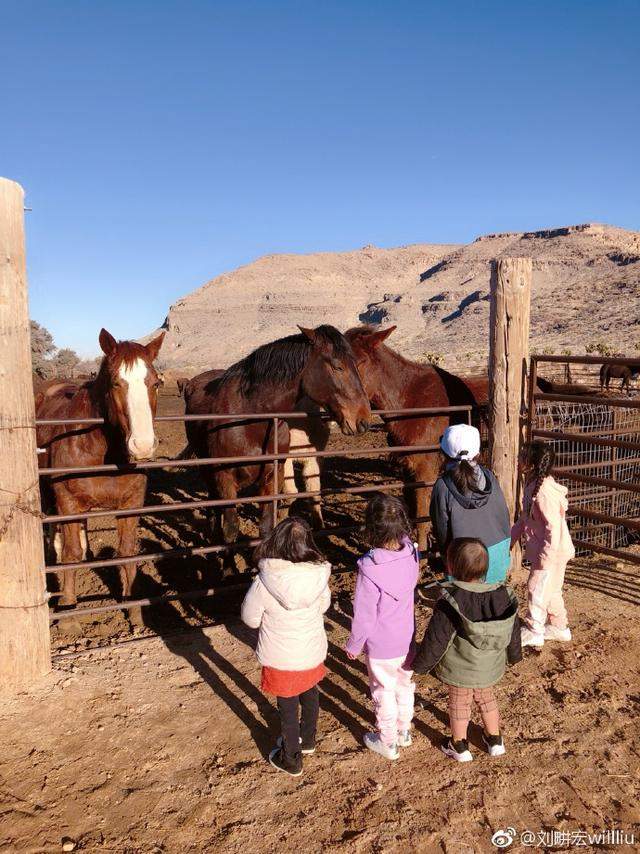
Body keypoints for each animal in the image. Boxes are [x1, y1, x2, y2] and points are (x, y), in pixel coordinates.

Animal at [35, 330, 166, 620]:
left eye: (155, 383)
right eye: (116, 383)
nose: (142, 446)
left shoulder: (131, 503)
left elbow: (127, 551)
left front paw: (133, 609)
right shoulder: (68, 501)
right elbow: (71, 553)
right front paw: (68, 611)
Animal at [182, 324, 370, 552]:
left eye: (358, 365)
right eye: (338, 366)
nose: (363, 419)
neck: (251, 417)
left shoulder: (273, 476)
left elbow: (265, 528)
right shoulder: (224, 478)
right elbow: (231, 531)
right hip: (207, 470)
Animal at [348, 324, 488, 552]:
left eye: (361, 361)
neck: (407, 403)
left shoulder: (425, 469)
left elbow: (423, 512)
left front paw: (422, 549)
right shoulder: (407, 468)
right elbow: (411, 511)